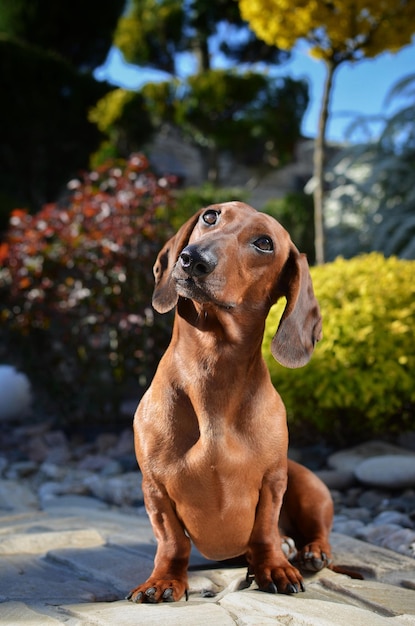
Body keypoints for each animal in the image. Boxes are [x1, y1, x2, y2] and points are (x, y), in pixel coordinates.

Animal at [129, 200, 334, 600]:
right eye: (210, 216)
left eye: (264, 243)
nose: (193, 259)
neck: (213, 368)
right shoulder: (154, 488)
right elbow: (172, 540)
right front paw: (163, 579)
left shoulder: (273, 482)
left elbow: (265, 530)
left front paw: (274, 566)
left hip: (308, 485)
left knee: (318, 531)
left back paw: (310, 550)